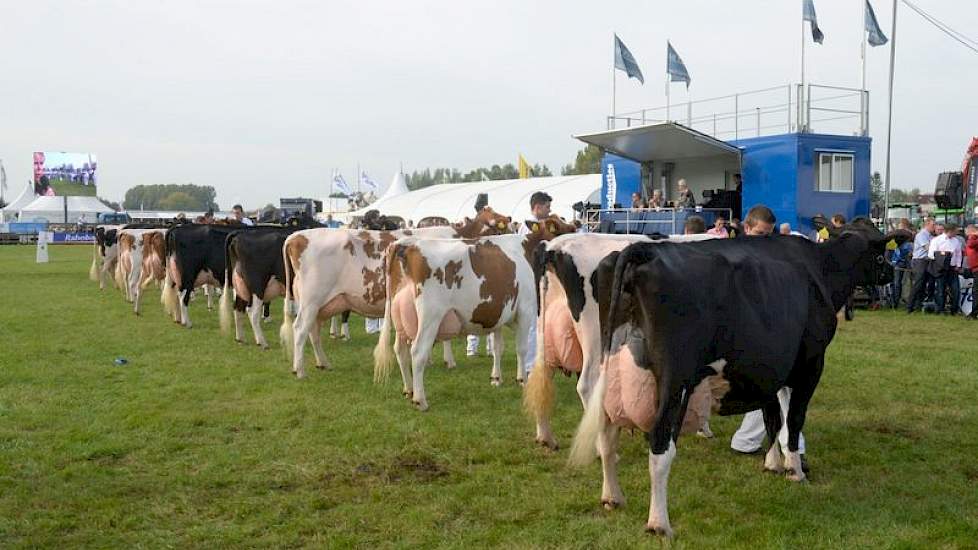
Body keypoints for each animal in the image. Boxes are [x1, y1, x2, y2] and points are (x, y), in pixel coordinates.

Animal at [278, 208, 510, 380]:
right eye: (498, 228)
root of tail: (298, 236)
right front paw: (447, 361)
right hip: (311, 300)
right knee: (300, 329)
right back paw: (300, 370)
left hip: (320, 304)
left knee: (313, 331)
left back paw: (323, 363)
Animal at [372, 218, 572, 412]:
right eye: (565, 230)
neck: (527, 249)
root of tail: (408, 244)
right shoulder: (525, 310)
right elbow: (521, 348)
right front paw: (522, 379)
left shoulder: (498, 313)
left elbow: (498, 348)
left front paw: (496, 378)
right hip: (430, 316)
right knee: (418, 351)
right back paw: (420, 400)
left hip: (399, 318)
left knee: (400, 350)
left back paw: (408, 390)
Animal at [568, 221, 904, 540]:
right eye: (881, 251)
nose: (890, 272)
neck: (820, 269)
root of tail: (642, 250)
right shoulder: (811, 363)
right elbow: (793, 419)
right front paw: (795, 470)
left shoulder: (771, 367)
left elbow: (773, 417)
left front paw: (773, 463)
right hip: (675, 380)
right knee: (660, 444)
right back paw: (659, 523)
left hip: (609, 366)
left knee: (606, 435)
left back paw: (612, 497)